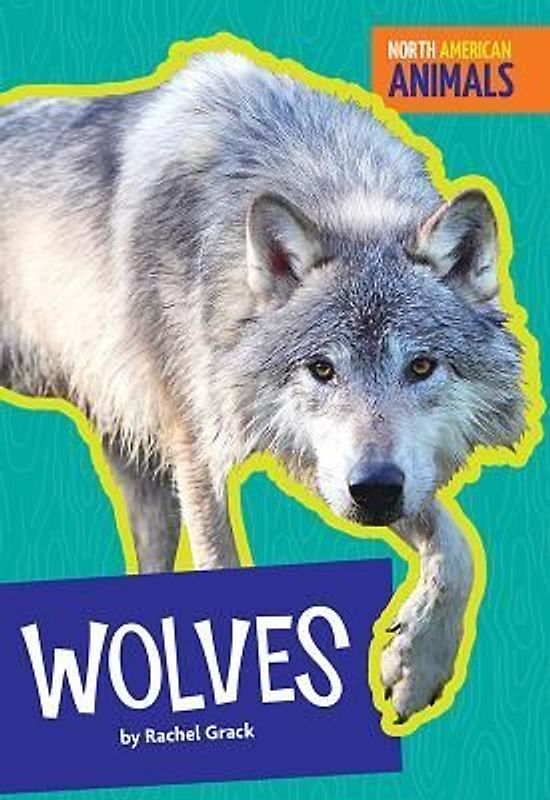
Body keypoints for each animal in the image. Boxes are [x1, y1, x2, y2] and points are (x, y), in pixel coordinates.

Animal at [0, 52, 525, 720]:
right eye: (322, 369)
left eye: (422, 367)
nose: (375, 490)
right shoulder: (198, 451)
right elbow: (220, 567)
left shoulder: (349, 471)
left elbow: (461, 550)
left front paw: (419, 665)